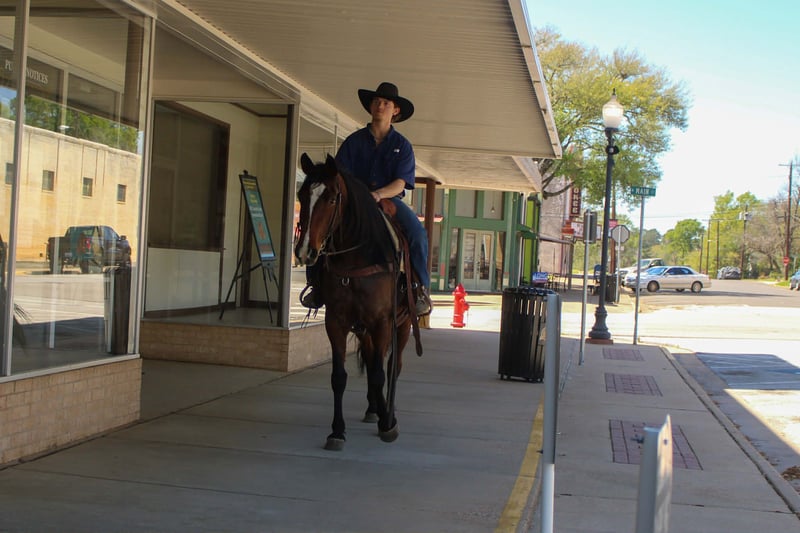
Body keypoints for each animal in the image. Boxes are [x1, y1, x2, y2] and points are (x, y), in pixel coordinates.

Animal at [294, 153, 420, 451]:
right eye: (301, 195)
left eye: (331, 199)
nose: (305, 251)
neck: (358, 258)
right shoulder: (336, 322)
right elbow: (339, 377)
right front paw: (337, 431)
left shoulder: (382, 321)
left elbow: (379, 374)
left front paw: (388, 425)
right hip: (365, 330)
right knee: (374, 360)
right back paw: (374, 408)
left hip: (403, 324)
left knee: (392, 367)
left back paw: (387, 412)